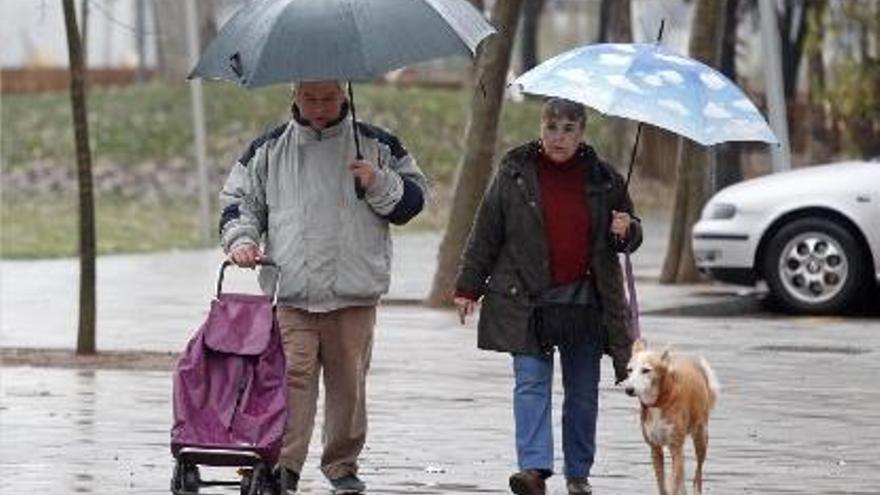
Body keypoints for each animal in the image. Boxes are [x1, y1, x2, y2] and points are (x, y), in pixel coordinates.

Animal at [624, 340, 720, 495]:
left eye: (646, 370)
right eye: (629, 370)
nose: (629, 390)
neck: (659, 402)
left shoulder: (676, 446)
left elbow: (674, 483)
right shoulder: (655, 448)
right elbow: (662, 486)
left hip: (700, 438)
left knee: (698, 473)